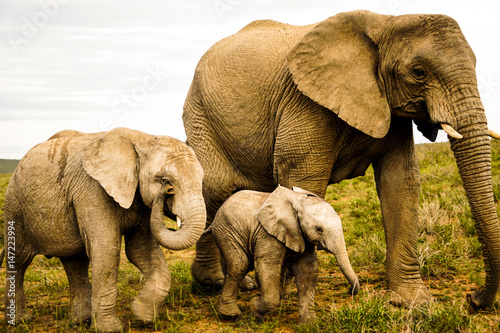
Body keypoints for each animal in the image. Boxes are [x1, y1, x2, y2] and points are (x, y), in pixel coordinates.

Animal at [1, 126, 205, 330]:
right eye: (164, 180)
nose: (165, 192)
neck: (143, 140)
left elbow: (141, 250)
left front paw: (142, 315)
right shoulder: (92, 189)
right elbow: (106, 250)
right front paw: (112, 329)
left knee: (75, 262)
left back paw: (79, 322)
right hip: (14, 205)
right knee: (19, 260)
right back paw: (19, 321)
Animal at [183, 9, 500, 306]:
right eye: (419, 72)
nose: (473, 298)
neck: (386, 22)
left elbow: (400, 181)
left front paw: (412, 302)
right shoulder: (305, 102)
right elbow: (304, 181)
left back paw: (241, 283)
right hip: (201, 114)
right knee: (216, 189)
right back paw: (213, 282)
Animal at [208, 184, 360, 322]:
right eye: (319, 229)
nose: (350, 291)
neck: (298, 201)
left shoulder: (301, 235)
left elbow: (308, 271)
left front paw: (309, 324)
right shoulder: (267, 234)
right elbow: (268, 266)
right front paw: (255, 306)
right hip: (227, 231)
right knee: (240, 265)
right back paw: (230, 315)